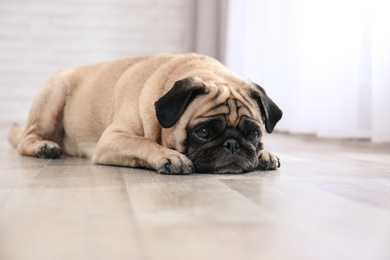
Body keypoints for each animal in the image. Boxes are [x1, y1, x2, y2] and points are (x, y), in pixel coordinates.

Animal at [7, 53, 282, 175]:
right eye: (203, 132)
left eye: (254, 134)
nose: (233, 144)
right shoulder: (113, 139)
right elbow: (143, 143)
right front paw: (170, 157)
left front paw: (265, 154)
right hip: (54, 95)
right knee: (25, 139)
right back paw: (44, 147)